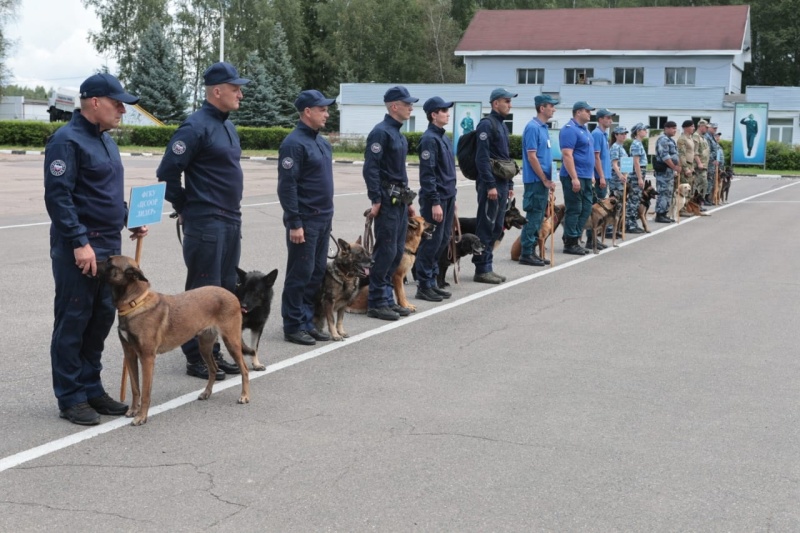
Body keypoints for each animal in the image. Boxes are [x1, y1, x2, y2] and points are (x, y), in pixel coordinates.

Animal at [99, 256, 252, 426]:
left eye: (109, 262)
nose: (93, 262)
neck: (134, 303)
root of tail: (232, 295)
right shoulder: (130, 355)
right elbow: (135, 388)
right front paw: (133, 410)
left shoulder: (147, 358)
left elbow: (145, 392)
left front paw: (141, 416)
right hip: (205, 347)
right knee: (213, 368)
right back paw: (206, 392)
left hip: (231, 342)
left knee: (244, 369)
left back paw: (244, 396)